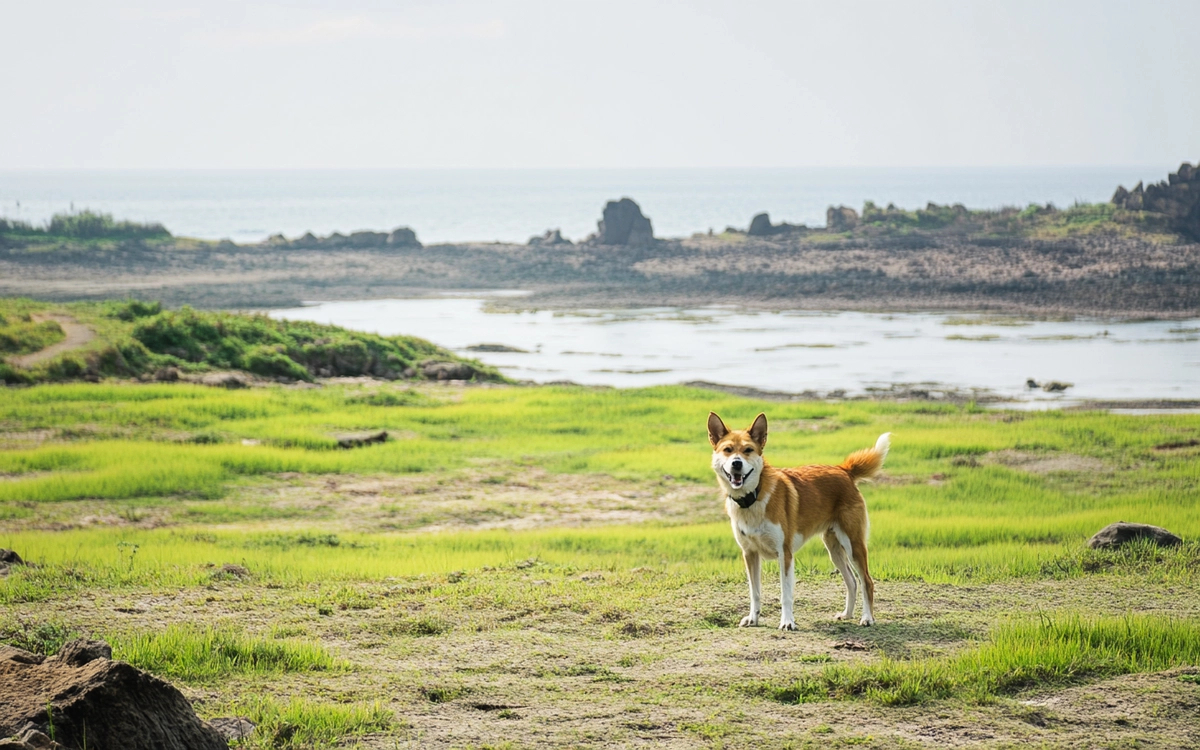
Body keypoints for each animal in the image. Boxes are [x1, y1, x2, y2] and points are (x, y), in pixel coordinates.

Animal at [705, 412, 888, 628]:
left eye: (748, 450)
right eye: (728, 450)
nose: (736, 463)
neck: (754, 497)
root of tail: (844, 470)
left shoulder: (784, 554)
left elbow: (785, 594)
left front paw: (787, 622)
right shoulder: (750, 554)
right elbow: (754, 592)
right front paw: (753, 618)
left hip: (853, 544)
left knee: (866, 580)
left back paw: (867, 617)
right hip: (833, 548)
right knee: (851, 581)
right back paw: (847, 614)